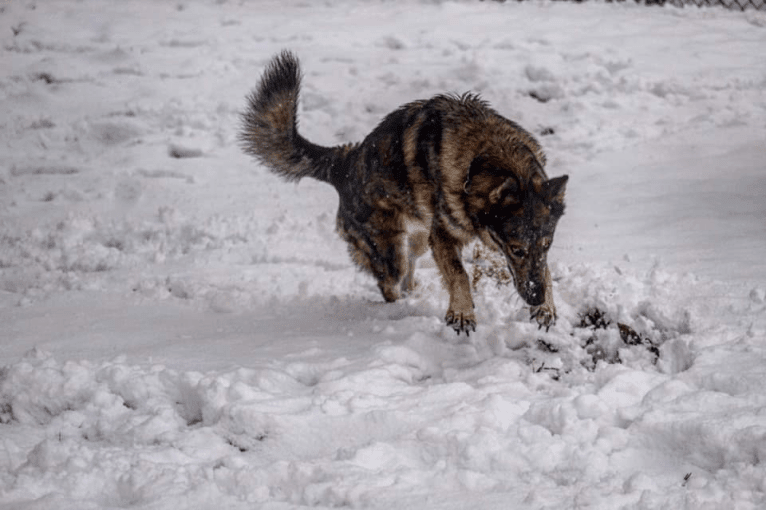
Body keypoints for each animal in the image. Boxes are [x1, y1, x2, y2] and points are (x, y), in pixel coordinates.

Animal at [242, 51, 568, 336]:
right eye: (517, 250)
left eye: (547, 245)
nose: (537, 299)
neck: (484, 157)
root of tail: (345, 161)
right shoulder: (444, 237)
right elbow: (459, 275)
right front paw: (462, 313)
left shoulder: (451, 238)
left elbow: (545, 271)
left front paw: (547, 308)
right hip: (391, 251)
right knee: (390, 284)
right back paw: (402, 310)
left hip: (420, 238)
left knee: (409, 268)